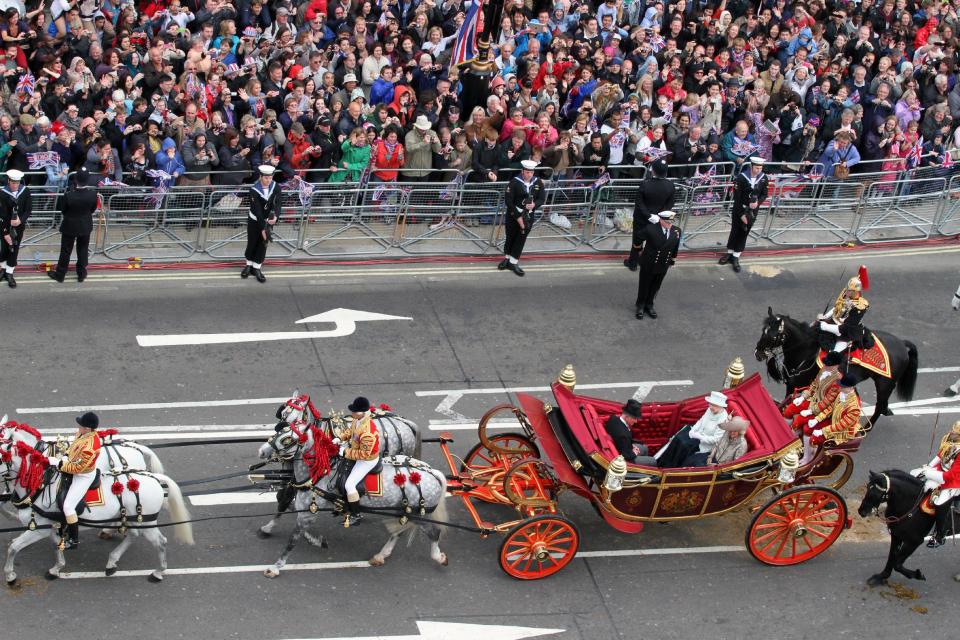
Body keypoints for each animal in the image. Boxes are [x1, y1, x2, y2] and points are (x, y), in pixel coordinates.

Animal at [0, 436, 195, 584]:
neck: (41, 486)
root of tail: (153, 477)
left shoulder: (38, 529)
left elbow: (14, 548)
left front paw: (10, 575)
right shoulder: (48, 527)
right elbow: (56, 546)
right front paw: (56, 568)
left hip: (144, 521)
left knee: (160, 542)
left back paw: (158, 572)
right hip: (132, 519)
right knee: (134, 535)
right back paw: (112, 561)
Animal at [256, 392, 422, 536]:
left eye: (290, 416)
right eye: (282, 414)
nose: (263, 451)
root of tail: (406, 423)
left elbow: (285, 497)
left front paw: (268, 527)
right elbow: (283, 496)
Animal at [256, 418, 448, 576]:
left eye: (287, 439)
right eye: (278, 431)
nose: (262, 452)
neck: (322, 472)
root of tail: (433, 472)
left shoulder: (307, 514)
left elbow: (292, 539)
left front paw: (275, 567)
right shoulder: (305, 509)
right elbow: (288, 511)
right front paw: (315, 541)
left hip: (417, 515)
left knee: (434, 533)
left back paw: (438, 557)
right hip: (402, 511)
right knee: (398, 533)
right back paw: (381, 555)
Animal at [752, 308, 920, 428]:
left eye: (773, 336)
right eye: (763, 331)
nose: (758, 354)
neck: (806, 351)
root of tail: (902, 343)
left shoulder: (798, 385)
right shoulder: (794, 386)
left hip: (885, 384)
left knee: (879, 407)